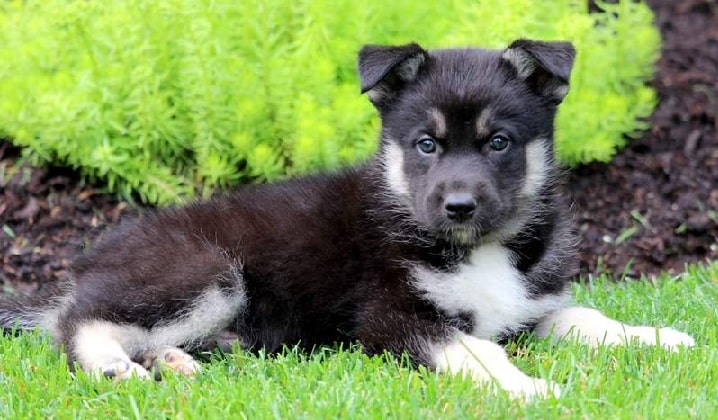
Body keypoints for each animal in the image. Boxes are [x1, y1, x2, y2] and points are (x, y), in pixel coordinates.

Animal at [0, 39, 696, 398]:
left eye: (498, 142)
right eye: (426, 144)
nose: (459, 206)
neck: (477, 248)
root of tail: (90, 260)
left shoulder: (529, 307)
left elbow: (585, 316)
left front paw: (658, 337)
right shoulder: (392, 318)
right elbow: (475, 350)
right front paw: (527, 388)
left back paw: (175, 362)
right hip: (205, 271)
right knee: (78, 322)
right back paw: (113, 364)